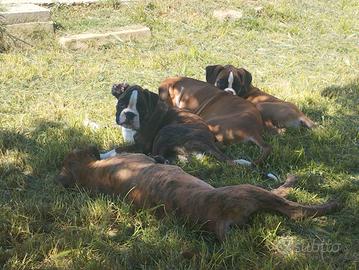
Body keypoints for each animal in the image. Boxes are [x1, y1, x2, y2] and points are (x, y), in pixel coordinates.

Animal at [100, 83, 253, 167]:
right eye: (121, 104)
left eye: (141, 108)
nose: (130, 114)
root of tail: (209, 142)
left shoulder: (141, 145)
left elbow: (117, 150)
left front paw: (102, 155)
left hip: (165, 131)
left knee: (159, 155)